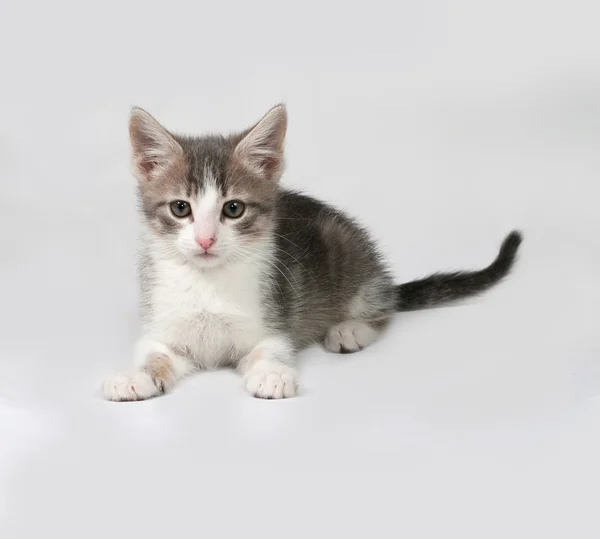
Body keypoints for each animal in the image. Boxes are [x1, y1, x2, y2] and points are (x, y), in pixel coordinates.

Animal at [102, 105, 520, 400]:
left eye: (233, 209)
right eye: (180, 208)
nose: (206, 240)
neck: (209, 284)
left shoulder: (275, 320)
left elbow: (268, 350)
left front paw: (270, 375)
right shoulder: (161, 329)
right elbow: (155, 354)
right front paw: (135, 378)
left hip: (349, 253)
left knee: (383, 306)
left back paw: (350, 328)